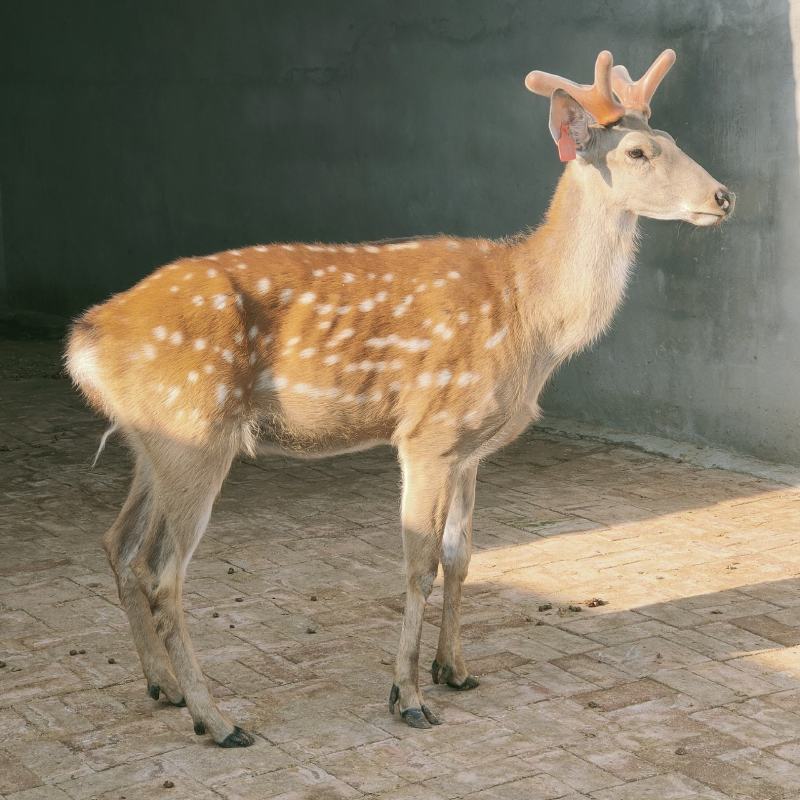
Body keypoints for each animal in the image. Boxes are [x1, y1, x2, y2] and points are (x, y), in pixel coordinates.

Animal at [66, 49, 734, 747]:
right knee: (164, 570)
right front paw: (407, 697)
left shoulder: (470, 448)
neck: (531, 317)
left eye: (673, 139)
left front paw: (455, 671)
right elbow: (419, 565)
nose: (723, 196)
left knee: (119, 544)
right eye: (637, 151)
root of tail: (85, 339)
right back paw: (216, 718)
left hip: (155, 442)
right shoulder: (428, 432)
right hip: (195, 429)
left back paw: (163, 686)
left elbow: (461, 557)